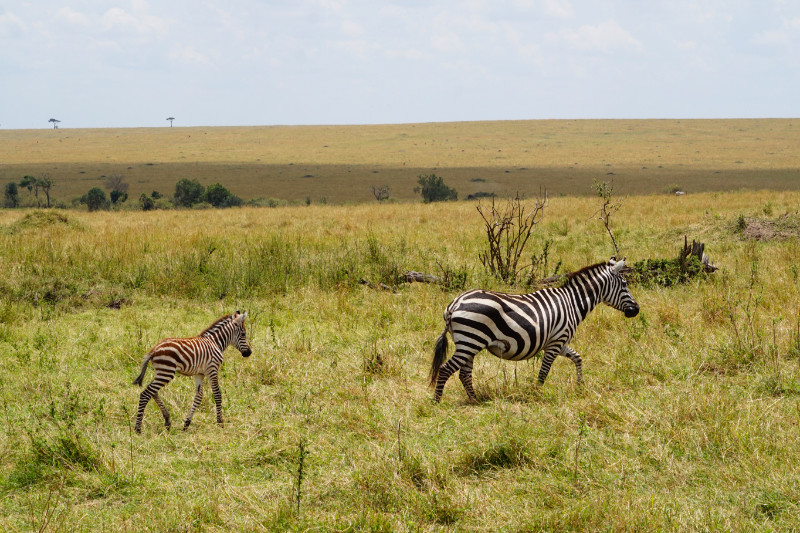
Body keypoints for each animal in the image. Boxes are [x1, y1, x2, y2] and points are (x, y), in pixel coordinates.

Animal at [429, 257, 639, 402]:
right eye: (625, 285)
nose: (636, 310)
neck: (572, 303)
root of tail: (454, 304)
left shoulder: (560, 342)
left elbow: (578, 358)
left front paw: (580, 385)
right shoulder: (555, 342)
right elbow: (543, 372)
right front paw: (537, 393)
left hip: (468, 342)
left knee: (464, 374)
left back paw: (475, 400)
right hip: (470, 340)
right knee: (446, 369)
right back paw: (437, 402)